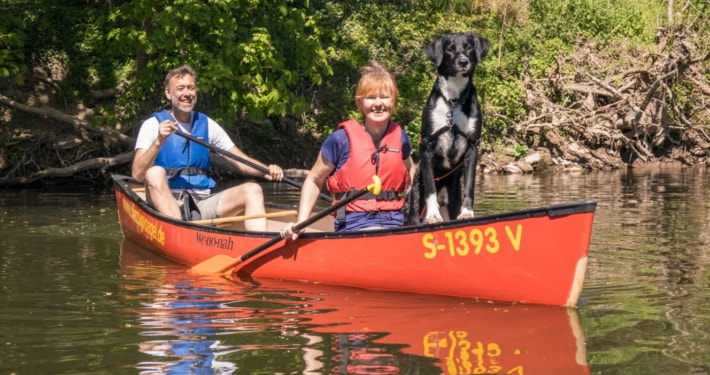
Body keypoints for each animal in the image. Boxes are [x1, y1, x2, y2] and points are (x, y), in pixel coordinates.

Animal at [406, 32, 490, 225]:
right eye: (450, 49)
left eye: (469, 47)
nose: (463, 61)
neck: (453, 101)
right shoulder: (427, 146)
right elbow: (430, 187)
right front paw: (432, 215)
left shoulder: (472, 147)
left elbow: (470, 185)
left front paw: (467, 212)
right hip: (413, 204)